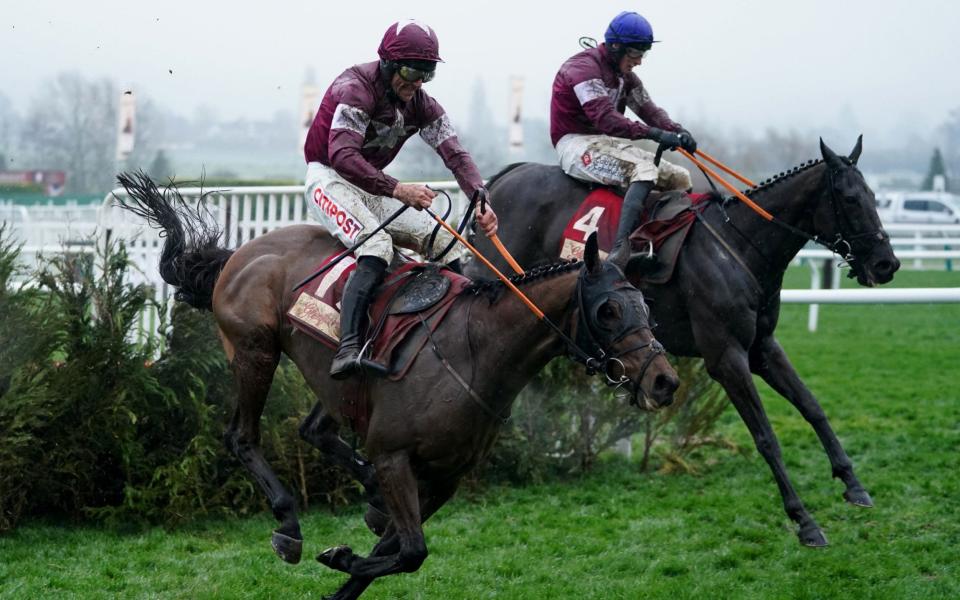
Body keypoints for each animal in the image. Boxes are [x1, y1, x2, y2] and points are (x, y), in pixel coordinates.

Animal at [116, 173, 680, 600]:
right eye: (608, 311)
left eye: (645, 306)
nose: (664, 380)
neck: (475, 350)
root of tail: (241, 251)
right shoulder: (395, 458)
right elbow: (410, 551)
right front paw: (340, 556)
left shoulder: (444, 477)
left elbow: (397, 547)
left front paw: (348, 567)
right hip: (255, 351)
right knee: (241, 435)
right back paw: (289, 524)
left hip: (332, 381)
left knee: (314, 430)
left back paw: (362, 495)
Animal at [464, 137, 900, 548]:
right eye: (851, 199)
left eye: (874, 196)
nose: (887, 264)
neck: (738, 246)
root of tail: (501, 180)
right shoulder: (726, 357)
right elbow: (765, 437)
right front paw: (804, 520)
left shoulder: (762, 347)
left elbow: (812, 407)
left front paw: (853, 483)